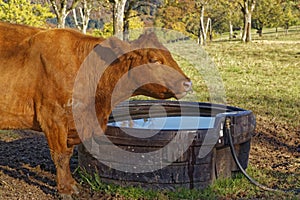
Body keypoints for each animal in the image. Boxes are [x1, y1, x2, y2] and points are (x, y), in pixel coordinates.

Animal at [0, 22, 192, 198]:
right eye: (153, 59)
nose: (187, 83)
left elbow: (67, 154)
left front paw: (72, 185)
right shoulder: (53, 117)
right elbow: (60, 156)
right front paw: (65, 190)